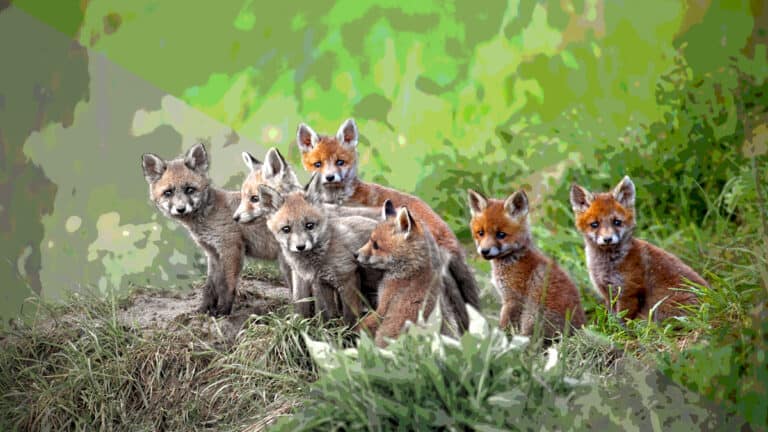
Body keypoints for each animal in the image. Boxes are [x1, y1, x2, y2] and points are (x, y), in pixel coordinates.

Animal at [141, 142, 280, 316]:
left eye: (189, 189)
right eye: (168, 192)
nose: (181, 209)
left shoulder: (230, 248)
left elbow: (227, 284)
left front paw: (224, 310)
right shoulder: (213, 253)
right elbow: (210, 286)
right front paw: (204, 309)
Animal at [259, 174, 382, 324]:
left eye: (309, 225)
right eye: (286, 229)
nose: (300, 247)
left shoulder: (347, 277)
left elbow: (350, 317)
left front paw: (351, 330)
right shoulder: (319, 282)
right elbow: (324, 313)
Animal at [355, 201, 459, 347]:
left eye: (375, 245)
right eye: (370, 240)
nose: (355, 254)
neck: (410, 271)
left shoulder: (382, 308)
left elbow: (361, 325)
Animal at [467, 189, 586, 337]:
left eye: (501, 234)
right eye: (481, 233)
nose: (484, 251)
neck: (514, 259)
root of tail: (577, 331)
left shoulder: (513, 300)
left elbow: (504, 326)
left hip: (531, 316)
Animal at [570, 176, 706, 322]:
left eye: (617, 222)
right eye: (595, 224)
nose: (607, 239)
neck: (607, 265)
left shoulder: (629, 292)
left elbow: (622, 320)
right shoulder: (607, 292)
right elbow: (613, 318)